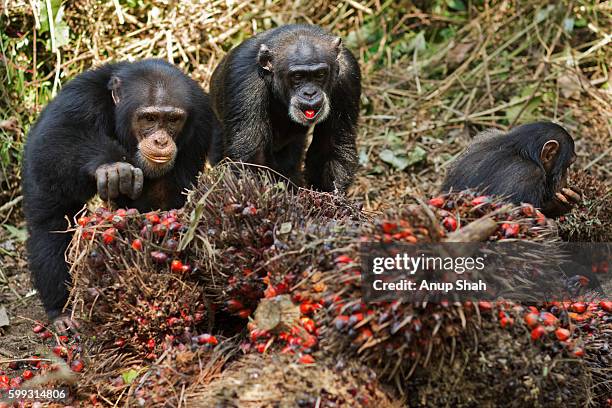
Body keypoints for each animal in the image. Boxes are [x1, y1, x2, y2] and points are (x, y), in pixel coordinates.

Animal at [22, 58, 214, 332]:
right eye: (149, 118)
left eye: (173, 120)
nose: (160, 141)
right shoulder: (77, 99)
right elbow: (57, 138)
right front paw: (112, 166)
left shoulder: (201, 124)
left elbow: (162, 203)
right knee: (49, 223)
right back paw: (62, 311)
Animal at [208, 23, 360, 193]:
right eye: (297, 76)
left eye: (320, 74)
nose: (310, 93)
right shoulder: (244, 80)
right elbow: (251, 158)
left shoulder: (348, 77)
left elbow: (331, 146)